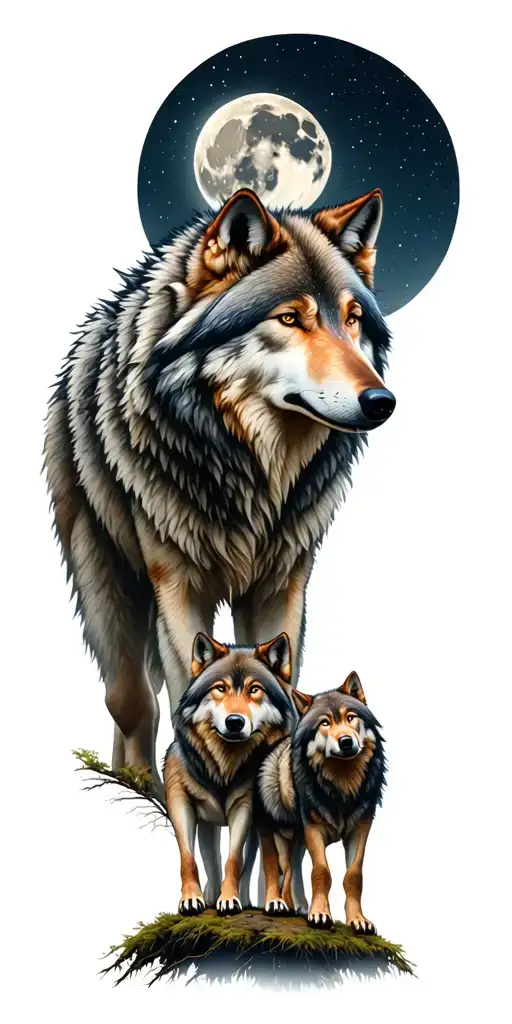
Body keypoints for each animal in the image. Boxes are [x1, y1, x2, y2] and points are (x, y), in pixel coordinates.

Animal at [164, 631, 296, 915]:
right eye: (220, 688)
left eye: (254, 689)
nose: (234, 722)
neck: (223, 767)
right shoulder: (180, 803)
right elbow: (188, 857)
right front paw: (191, 899)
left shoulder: (244, 808)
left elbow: (236, 860)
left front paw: (229, 899)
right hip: (208, 824)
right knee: (211, 859)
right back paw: (209, 895)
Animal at [256, 671, 385, 931]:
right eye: (325, 723)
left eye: (350, 717)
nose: (346, 741)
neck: (343, 786)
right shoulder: (313, 830)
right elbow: (321, 872)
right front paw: (319, 914)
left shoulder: (360, 829)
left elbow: (353, 876)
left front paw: (358, 920)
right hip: (273, 830)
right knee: (272, 864)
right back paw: (275, 903)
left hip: (298, 840)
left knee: (291, 870)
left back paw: (291, 906)